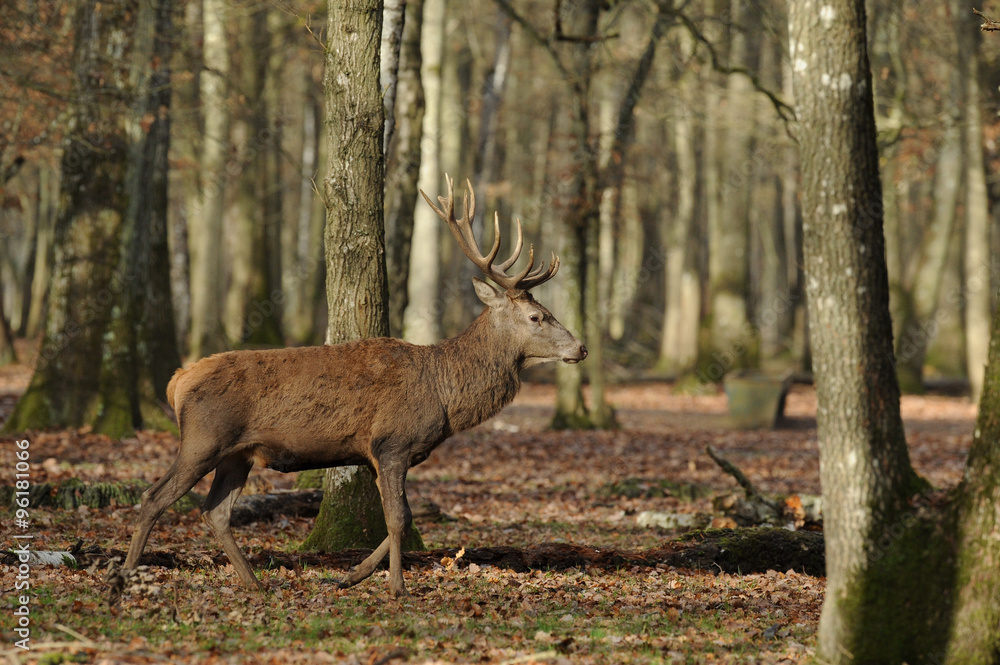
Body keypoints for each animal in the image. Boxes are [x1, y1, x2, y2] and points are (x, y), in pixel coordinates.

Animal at [115, 175, 587, 599]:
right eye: (537, 317)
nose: (581, 347)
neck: (445, 394)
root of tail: (178, 380)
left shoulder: (389, 453)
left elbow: (405, 518)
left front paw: (349, 576)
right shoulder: (391, 443)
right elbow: (398, 519)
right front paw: (396, 587)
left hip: (237, 454)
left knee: (215, 512)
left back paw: (253, 583)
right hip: (203, 438)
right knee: (154, 496)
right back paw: (125, 575)